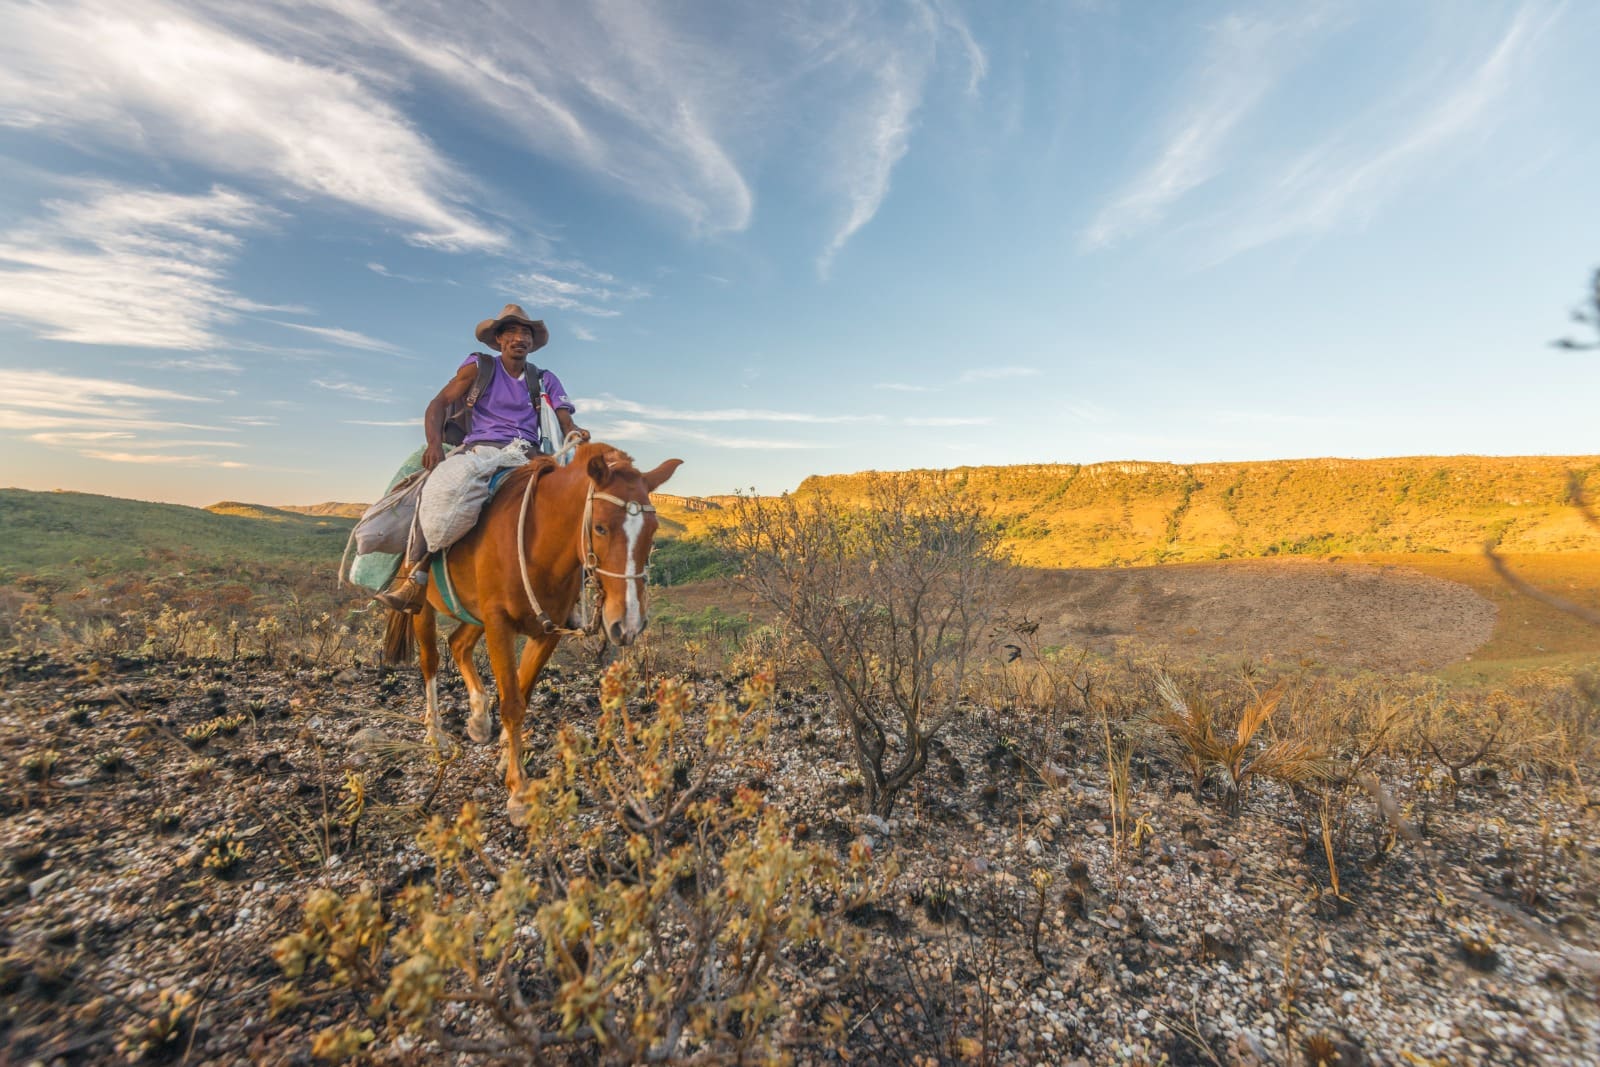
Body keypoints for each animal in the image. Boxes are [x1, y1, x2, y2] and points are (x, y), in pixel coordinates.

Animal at [382, 447, 681, 825]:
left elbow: (522, 691)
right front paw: (519, 793)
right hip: (425, 609)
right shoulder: (499, 624)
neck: (541, 547)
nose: (627, 623)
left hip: (475, 613)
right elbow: (512, 703)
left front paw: (504, 760)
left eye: (653, 532)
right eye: (600, 527)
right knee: (431, 661)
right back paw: (435, 732)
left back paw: (478, 719)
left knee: (459, 645)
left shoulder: (546, 631)